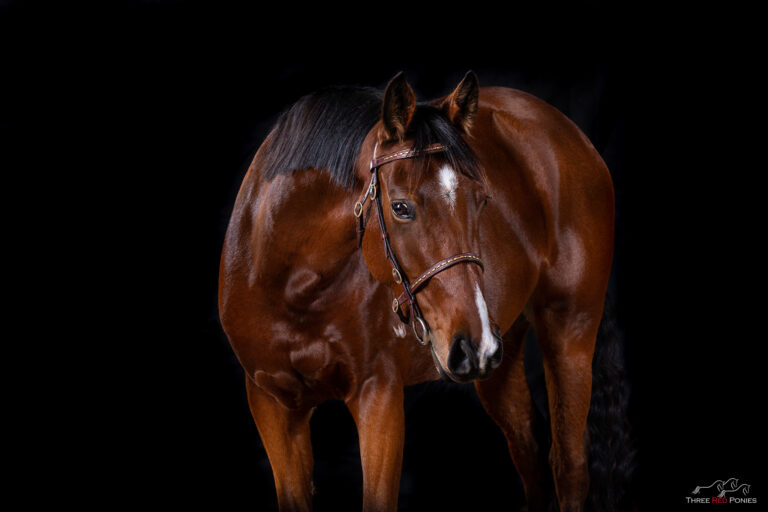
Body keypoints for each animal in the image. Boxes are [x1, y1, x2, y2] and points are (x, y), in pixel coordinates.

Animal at [219, 70, 632, 510]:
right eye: (400, 208)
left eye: (483, 199)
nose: (476, 345)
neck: (292, 287)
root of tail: (570, 132)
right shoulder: (271, 403)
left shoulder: (379, 395)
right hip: (500, 360)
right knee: (530, 450)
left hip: (568, 331)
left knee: (568, 464)